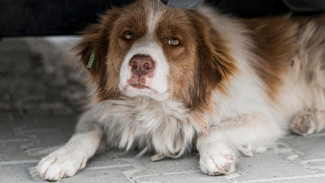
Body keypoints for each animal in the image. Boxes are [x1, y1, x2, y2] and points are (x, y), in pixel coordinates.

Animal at [35, 0, 324, 180]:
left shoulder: (261, 117)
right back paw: (306, 119)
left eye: (174, 41)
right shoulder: (103, 111)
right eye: (127, 35)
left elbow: (209, 132)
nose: (140, 64)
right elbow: (85, 133)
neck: (154, 106)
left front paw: (215, 155)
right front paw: (61, 156)